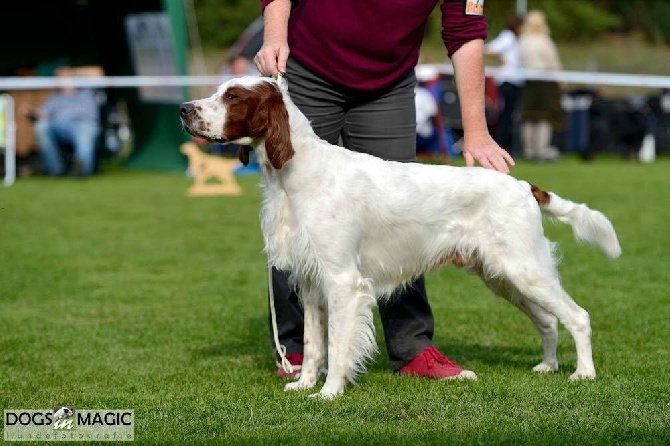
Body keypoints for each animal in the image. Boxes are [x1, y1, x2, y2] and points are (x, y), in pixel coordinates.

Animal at [181, 75, 624, 398]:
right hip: (503, 277)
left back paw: (583, 373)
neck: (295, 175)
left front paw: (328, 393)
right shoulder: (311, 282)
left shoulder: (343, 281)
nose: (185, 110)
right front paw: (304, 384)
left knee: (577, 316)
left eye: (233, 95)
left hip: (524, 269)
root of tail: (522, 186)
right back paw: (548, 366)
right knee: (548, 320)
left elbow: (338, 346)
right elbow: (313, 344)